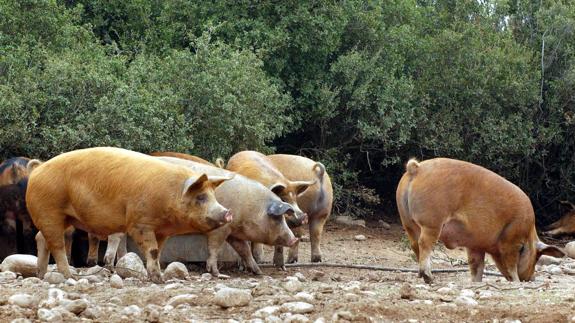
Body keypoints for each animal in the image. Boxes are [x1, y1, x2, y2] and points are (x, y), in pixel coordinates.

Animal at [24, 147, 232, 284]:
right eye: (201, 197)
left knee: (41, 238)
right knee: (56, 244)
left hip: (63, 218)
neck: (169, 195)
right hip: (50, 211)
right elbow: (152, 250)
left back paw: (41, 274)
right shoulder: (140, 223)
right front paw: (158, 280)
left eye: (213, 195)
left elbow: (158, 251)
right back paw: (69, 276)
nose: (228, 213)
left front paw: (159, 278)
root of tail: (36, 170)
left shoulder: (162, 231)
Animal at [159, 157, 302, 276]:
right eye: (277, 218)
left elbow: (244, 250)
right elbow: (214, 247)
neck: (250, 208)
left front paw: (258, 272)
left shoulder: (234, 232)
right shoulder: (220, 229)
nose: (294, 239)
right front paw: (215, 273)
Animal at [398, 158, 564, 284]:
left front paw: (476, 282)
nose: (531, 278)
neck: (528, 233)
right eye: (536, 258)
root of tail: (416, 168)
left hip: (407, 222)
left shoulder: (475, 245)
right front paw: (517, 281)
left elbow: (477, 265)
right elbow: (511, 263)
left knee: (414, 244)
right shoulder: (512, 239)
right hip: (432, 222)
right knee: (424, 243)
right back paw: (429, 277)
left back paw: (424, 277)